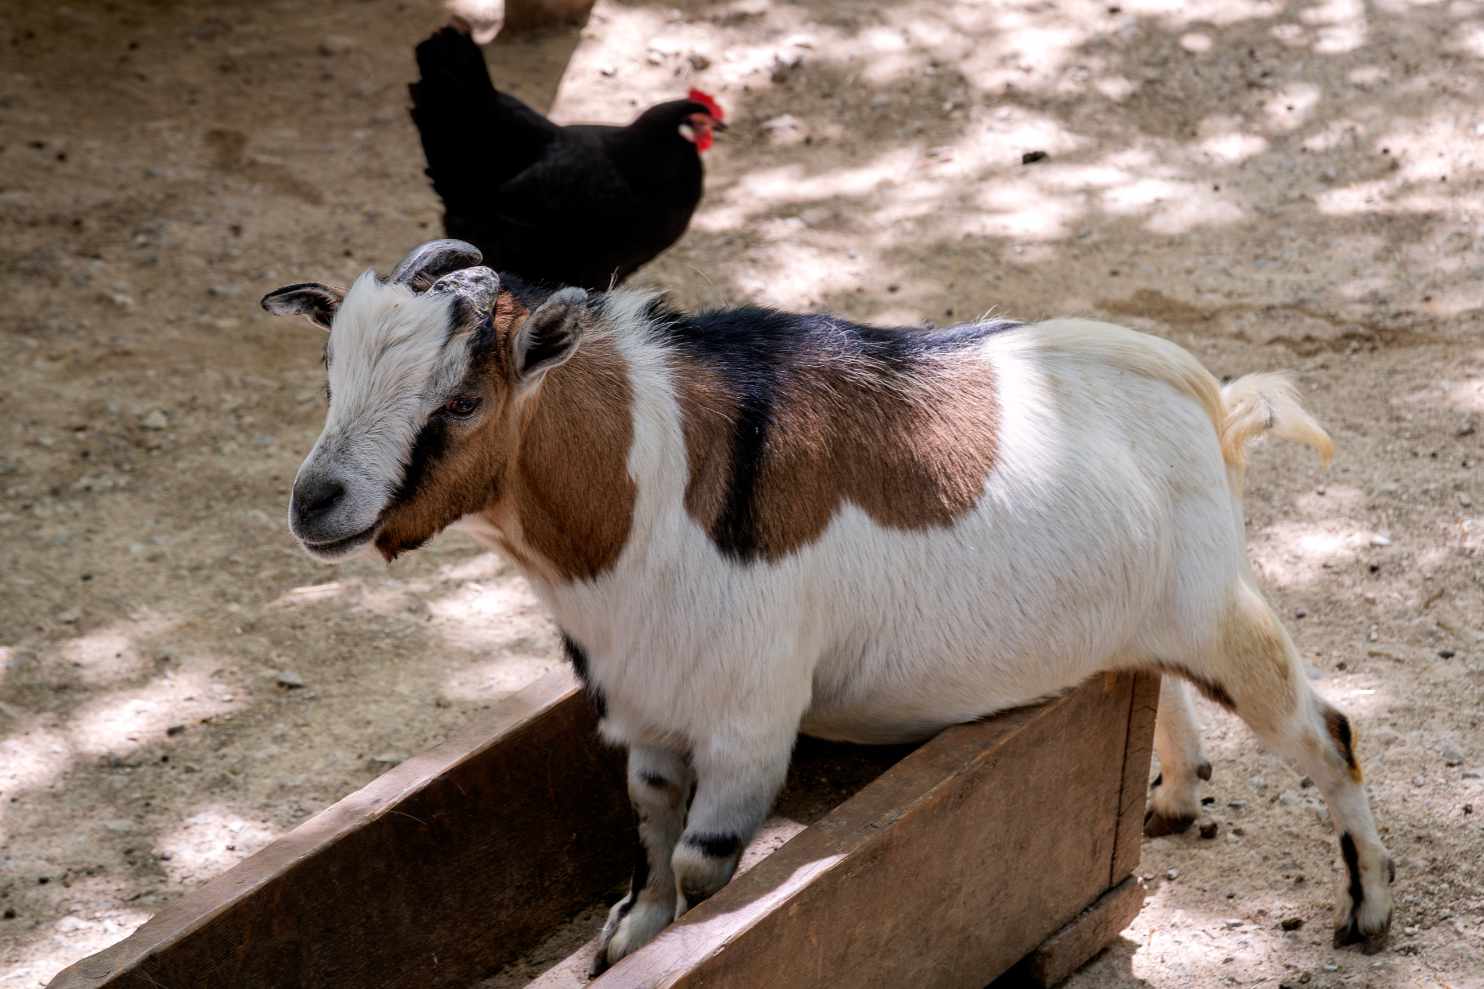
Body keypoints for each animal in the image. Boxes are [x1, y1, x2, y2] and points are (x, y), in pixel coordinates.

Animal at [262, 240, 1394, 971]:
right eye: (327, 378)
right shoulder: (647, 703)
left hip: (1218, 608)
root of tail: (1201, 395)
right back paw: (1172, 797)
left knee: (1327, 731)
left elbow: (699, 860)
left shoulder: (751, 718)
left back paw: (1367, 908)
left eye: (459, 400)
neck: (651, 486)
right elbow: (649, 823)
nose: (315, 502)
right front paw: (628, 932)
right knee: (1158, 678)